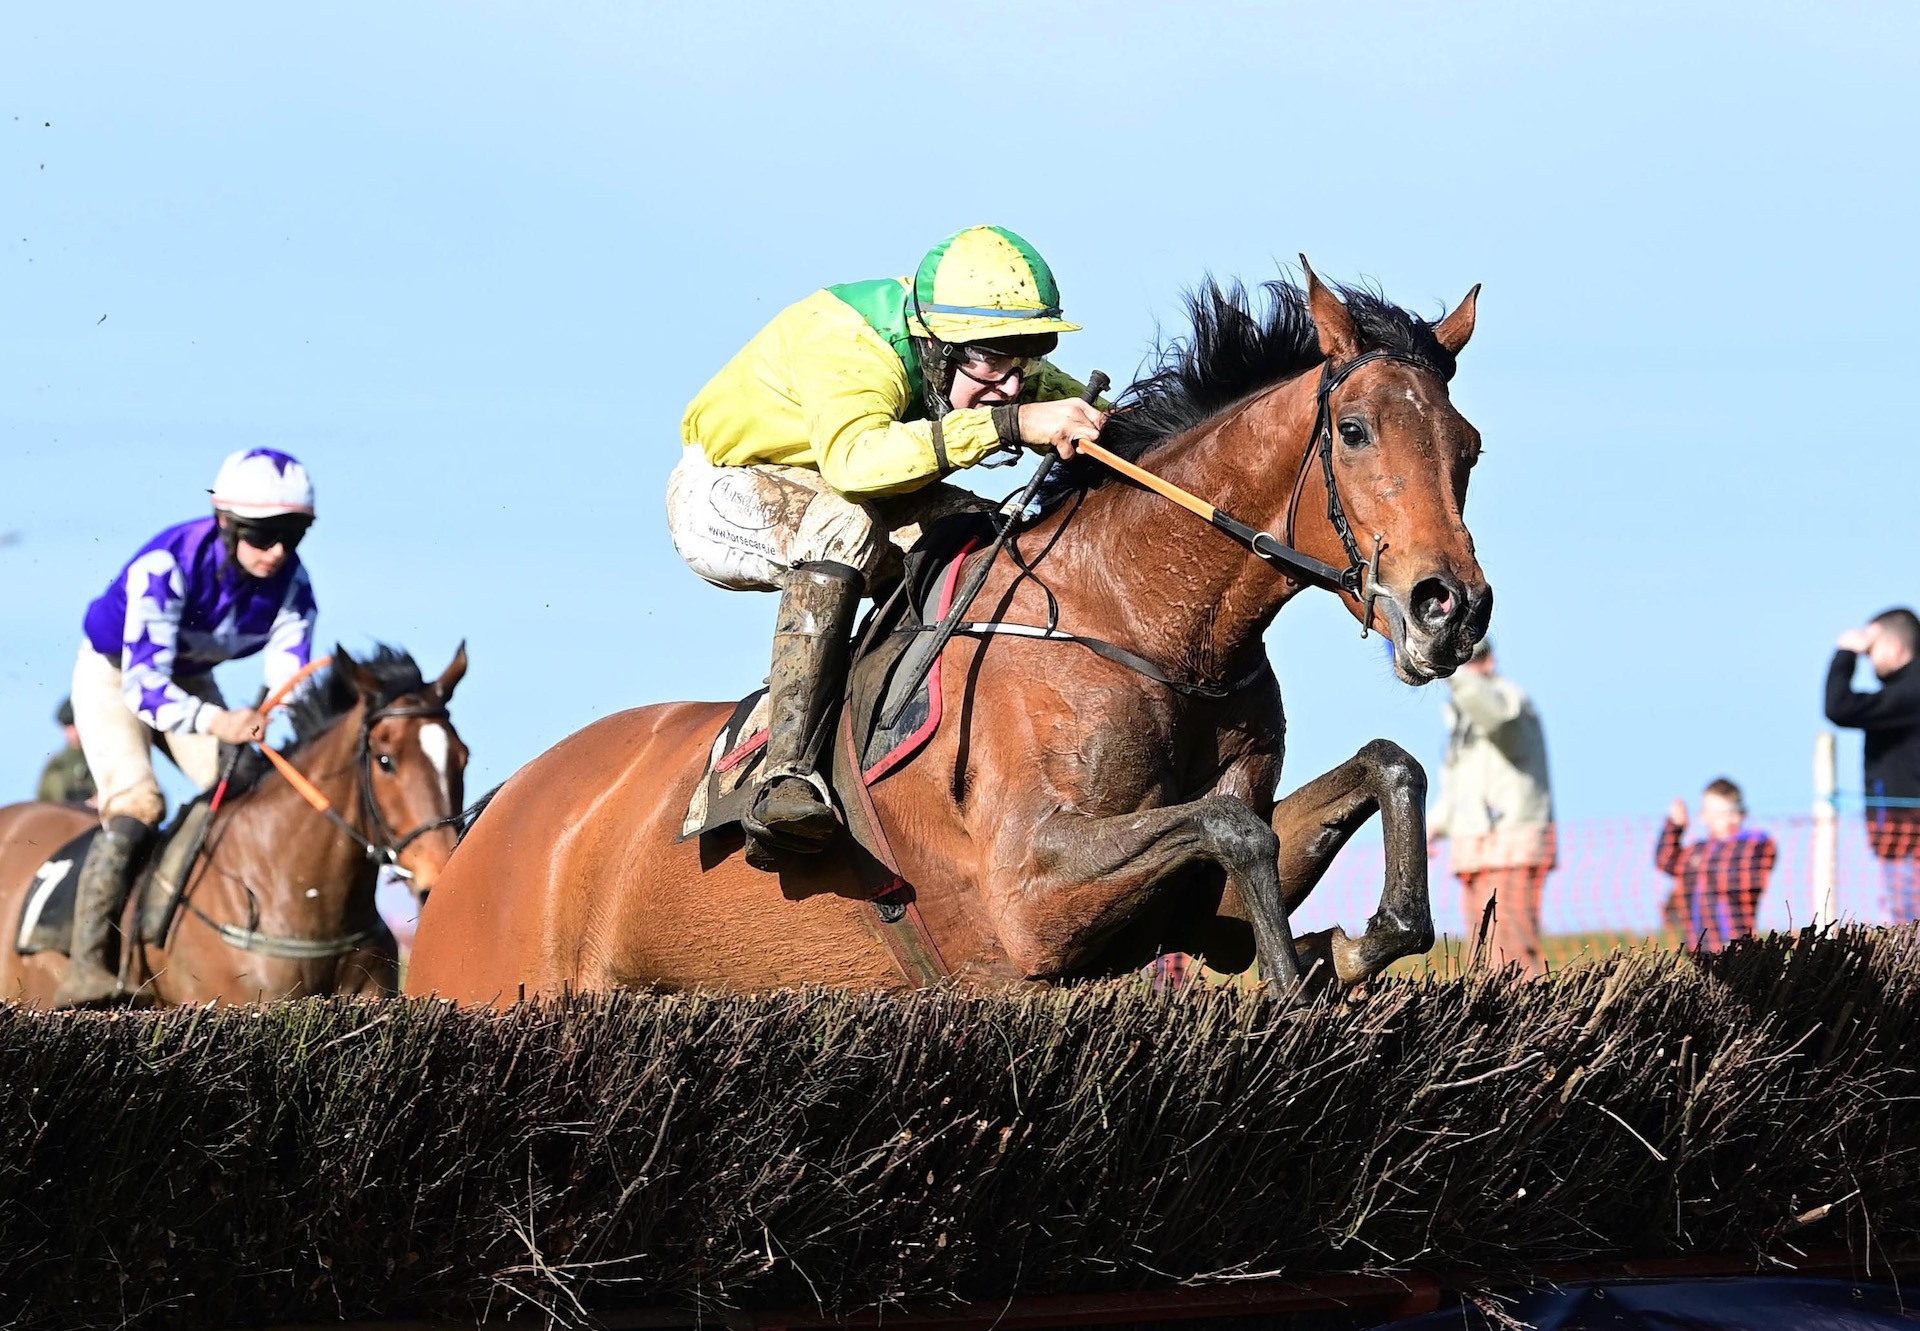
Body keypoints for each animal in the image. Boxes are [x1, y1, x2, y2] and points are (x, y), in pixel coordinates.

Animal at [401, 265, 1482, 998]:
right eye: (1355, 432)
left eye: (1467, 447)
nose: (1451, 606)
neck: (1139, 619)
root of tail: (484, 828)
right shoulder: (1028, 905)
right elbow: (1235, 827)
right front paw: (1298, 982)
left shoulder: (1183, 902)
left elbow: (1382, 769)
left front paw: (1351, 941)